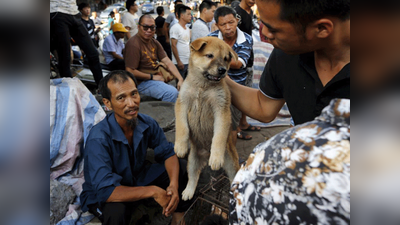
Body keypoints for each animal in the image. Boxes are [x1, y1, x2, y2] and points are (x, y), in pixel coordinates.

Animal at [174, 37, 238, 200]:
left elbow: (219, 136)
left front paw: (216, 157)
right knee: (193, 177)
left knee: (234, 177)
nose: (223, 70)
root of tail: (205, 154)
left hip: (231, 162)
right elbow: (182, 128)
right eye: (209, 56)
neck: (203, 87)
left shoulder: (221, 110)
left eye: (226, 59)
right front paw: (180, 147)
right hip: (192, 161)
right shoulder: (182, 103)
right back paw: (188, 192)